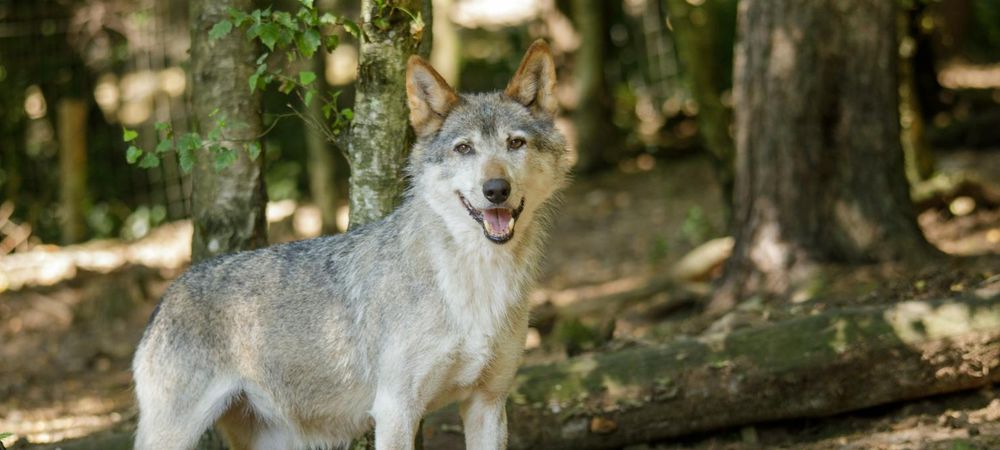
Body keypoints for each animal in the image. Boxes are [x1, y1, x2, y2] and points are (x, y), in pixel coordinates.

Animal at [132, 40, 569, 450]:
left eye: (515, 144)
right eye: (465, 148)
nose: (496, 189)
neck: (476, 278)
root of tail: (167, 296)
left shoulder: (487, 402)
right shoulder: (396, 410)